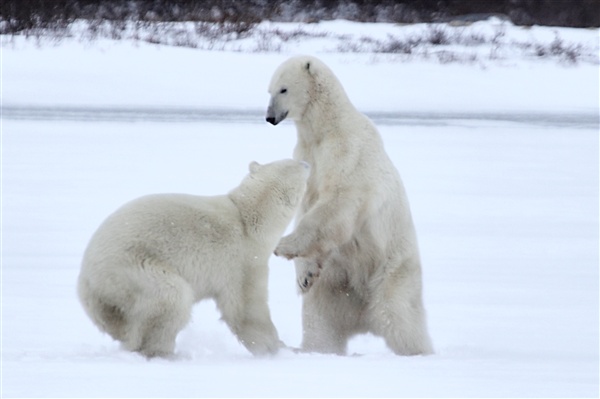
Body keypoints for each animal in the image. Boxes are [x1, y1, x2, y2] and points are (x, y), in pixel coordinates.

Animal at [77, 159, 310, 360]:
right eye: (296, 163)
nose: (307, 163)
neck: (247, 218)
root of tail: (87, 281)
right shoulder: (243, 260)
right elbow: (247, 308)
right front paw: (278, 349)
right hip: (131, 270)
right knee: (170, 297)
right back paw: (165, 353)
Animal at [266, 55, 432, 356]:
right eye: (268, 90)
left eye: (283, 89)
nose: (270, 117)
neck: (328, 126)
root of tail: (363, 317)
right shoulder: (307, 154)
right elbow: (307, 203)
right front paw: (304, 275)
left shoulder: (348, 151)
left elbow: (338, 202)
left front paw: (283, 245)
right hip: (333, 286)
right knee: (321, 324)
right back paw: (314, 349)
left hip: (392, 269)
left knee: (399, 316)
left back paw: (417, 351)